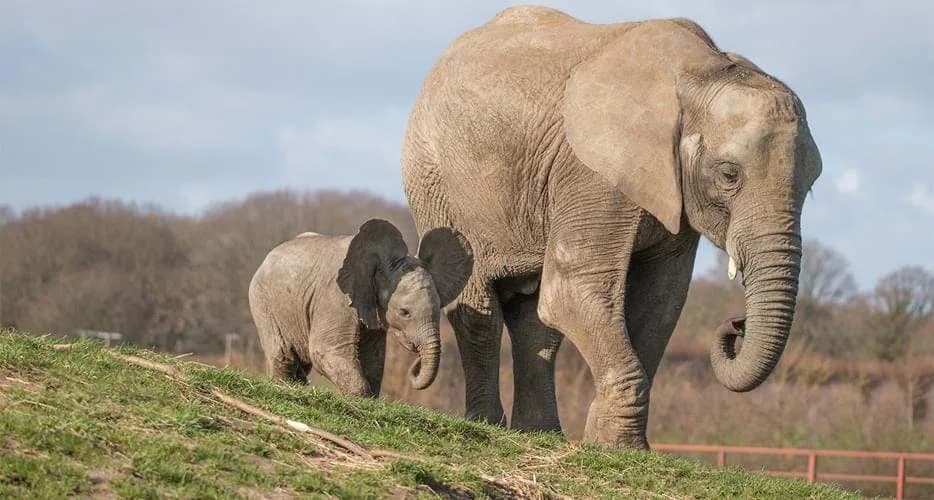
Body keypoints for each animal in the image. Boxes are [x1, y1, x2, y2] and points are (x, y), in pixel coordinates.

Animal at [248, 219, 472, 396]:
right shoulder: (335, 298)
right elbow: (325, 349)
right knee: (283, 354)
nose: (415, 364)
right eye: (405, 313)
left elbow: (373, 359)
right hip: (261, 300)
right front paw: (359, 397)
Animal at [400, 6, 822, 449]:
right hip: (434, 181)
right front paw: (614, 446)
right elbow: (572, 292)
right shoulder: (592, 171)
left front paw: (616, 445)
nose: (736, 325)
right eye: (728, 175)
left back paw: (541, 433)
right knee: (479, 310)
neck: (701, 73)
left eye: (811, 185)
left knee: (536, 323)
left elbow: (660, 302)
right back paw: (487, 424)